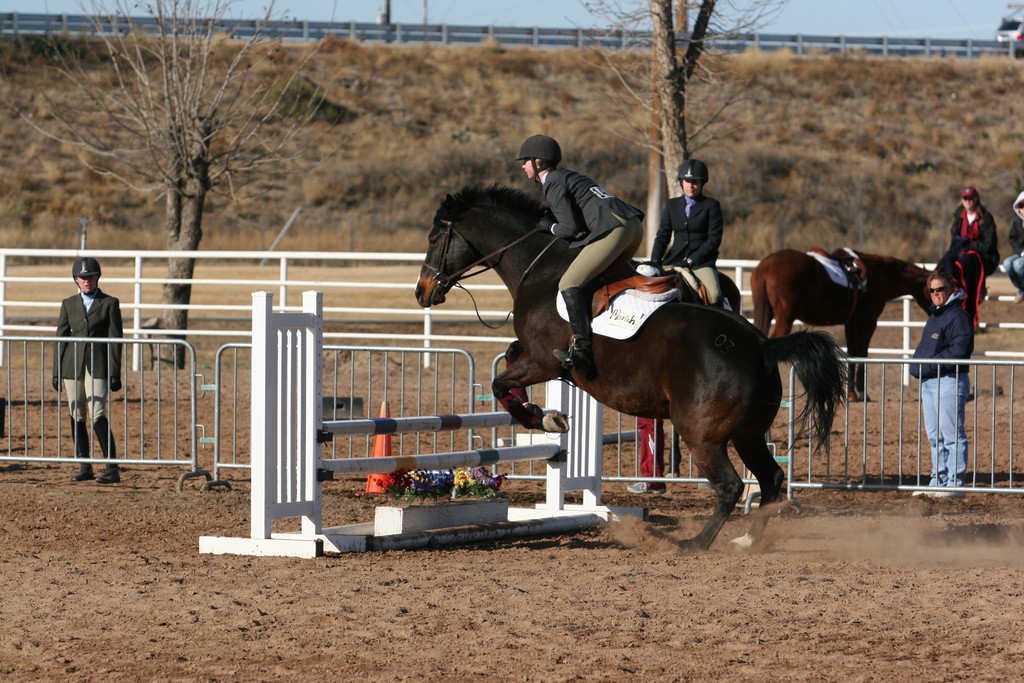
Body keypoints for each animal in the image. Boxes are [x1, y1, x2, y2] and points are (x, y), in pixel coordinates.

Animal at [411, 185, 843, 548]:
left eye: (433, 239)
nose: (421, 291)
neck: (540, 268)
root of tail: (761, 345)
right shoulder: (533, 356)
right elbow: (507, 365)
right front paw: (545, 414)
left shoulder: (544, 360)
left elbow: (500, 383)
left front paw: (543, 417)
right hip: (747, 433)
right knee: (769, 479)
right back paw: (746, 541)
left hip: (703, 433)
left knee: (731, 486)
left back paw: (695, 544)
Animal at [749, 249, 933, 401]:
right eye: (932, 290)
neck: (879, 274)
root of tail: (766, 265)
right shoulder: (867, 322)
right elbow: (862, 354)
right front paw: (862, 392)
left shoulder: (851, 323)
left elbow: (852, 354)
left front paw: (851, 393)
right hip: (785, 319)